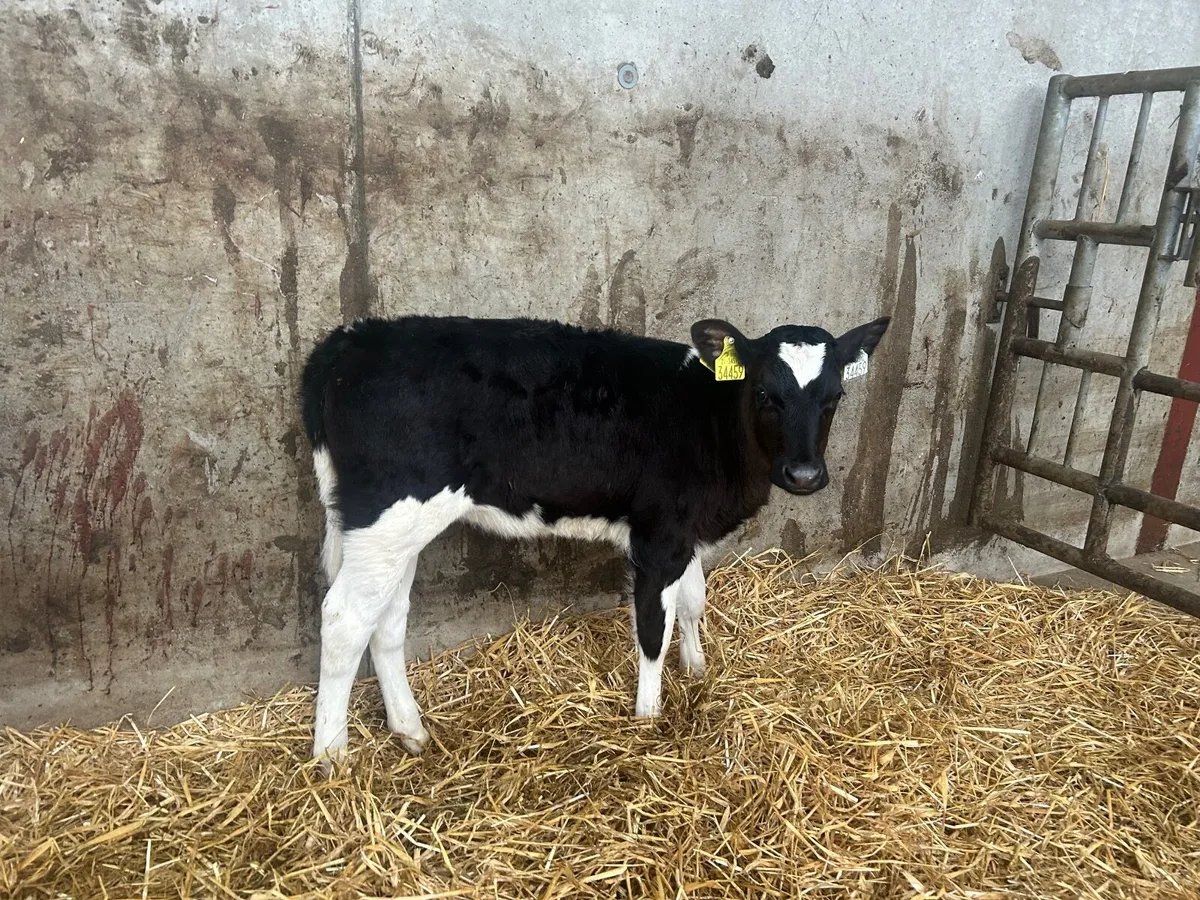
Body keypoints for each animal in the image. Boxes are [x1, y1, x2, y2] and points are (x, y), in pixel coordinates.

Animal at [300, 313, 889, 764]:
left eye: (835, 396)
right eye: (765, 393)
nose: (804, 475)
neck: (710, 418)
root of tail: (349, 340)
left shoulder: (686, 532)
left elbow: (694, 601)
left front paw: (697, 670)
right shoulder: (656, 538)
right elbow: (653, 629)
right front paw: (648, 717)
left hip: (393, 528)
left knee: (388, 618)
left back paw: (410, 729)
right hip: (390, 512)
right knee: (345, 618)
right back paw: (332, 756)